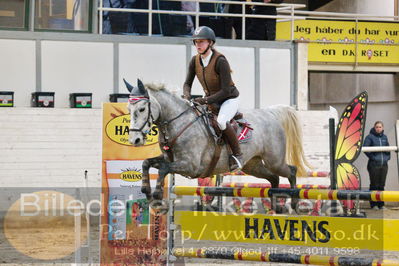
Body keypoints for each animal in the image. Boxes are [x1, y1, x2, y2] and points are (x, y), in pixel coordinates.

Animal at [126, 79, 310, 206]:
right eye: (129, 109)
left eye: (142, 109)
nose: (135, 140)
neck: (176, 122)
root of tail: (270, 114)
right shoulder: (169, 159)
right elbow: (146, 163)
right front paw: (146, 191)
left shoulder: (190, 166)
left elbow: (163, 169)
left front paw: (156, 196)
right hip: (253, 166)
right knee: (274, 178)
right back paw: (274, 206)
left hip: (274, 161)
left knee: (291, 171)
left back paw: (294, 203)